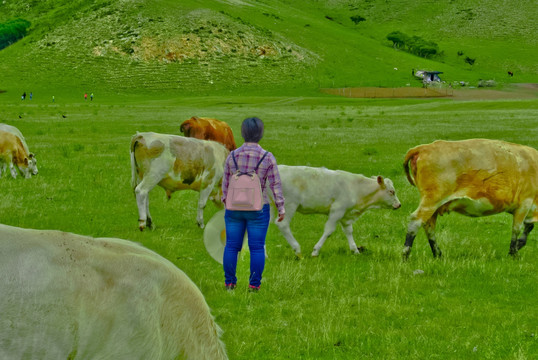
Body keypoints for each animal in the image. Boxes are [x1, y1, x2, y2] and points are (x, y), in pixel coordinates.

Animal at [402, 139, 536, 260]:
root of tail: (424, 147)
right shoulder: (525, 203)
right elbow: (516, 229)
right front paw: (514, 253)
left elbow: (529, 226)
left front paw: (518, 245)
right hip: (431, 201)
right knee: (416, 221)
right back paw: (405, 255)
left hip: (434, 206)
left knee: (429, 226)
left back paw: (438, 254)